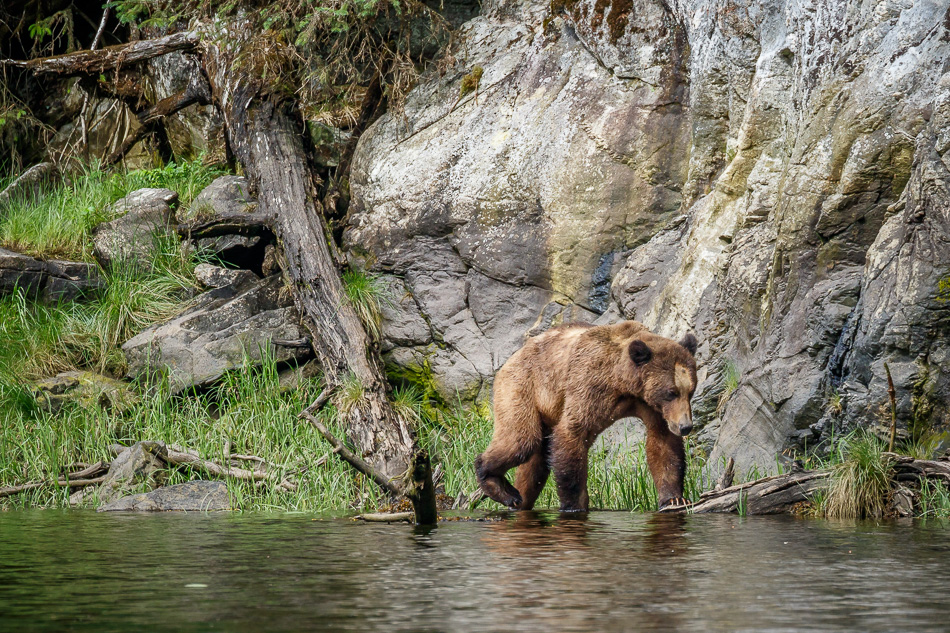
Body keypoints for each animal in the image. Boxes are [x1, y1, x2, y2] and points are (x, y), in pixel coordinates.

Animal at [474, 320, 698, 512]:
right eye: (671, 392)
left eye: (690, 391)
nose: (685, 426)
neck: (624, 383)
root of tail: (513, 356)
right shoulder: (590, 384)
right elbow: (573, 433)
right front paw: (574, 505)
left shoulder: (651, 406)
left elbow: (662, 444)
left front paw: (674, 498)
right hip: (522, 386)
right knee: (521, 439)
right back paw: (497, 484)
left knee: (536, 461)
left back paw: (520, 498)